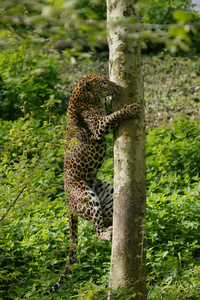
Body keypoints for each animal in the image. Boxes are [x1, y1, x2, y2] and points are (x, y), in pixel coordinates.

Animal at [44, 74, 140, 294]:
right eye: (103, 83)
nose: (114, 85)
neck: (83, 97)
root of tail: (68, 204)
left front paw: (111, 99)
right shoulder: (98, 126)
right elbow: (115, 116)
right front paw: (131, 108)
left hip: (107, 192)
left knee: (105, 220)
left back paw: (114, 227)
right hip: (88, 198)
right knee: (95, 230)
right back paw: (107, 234)